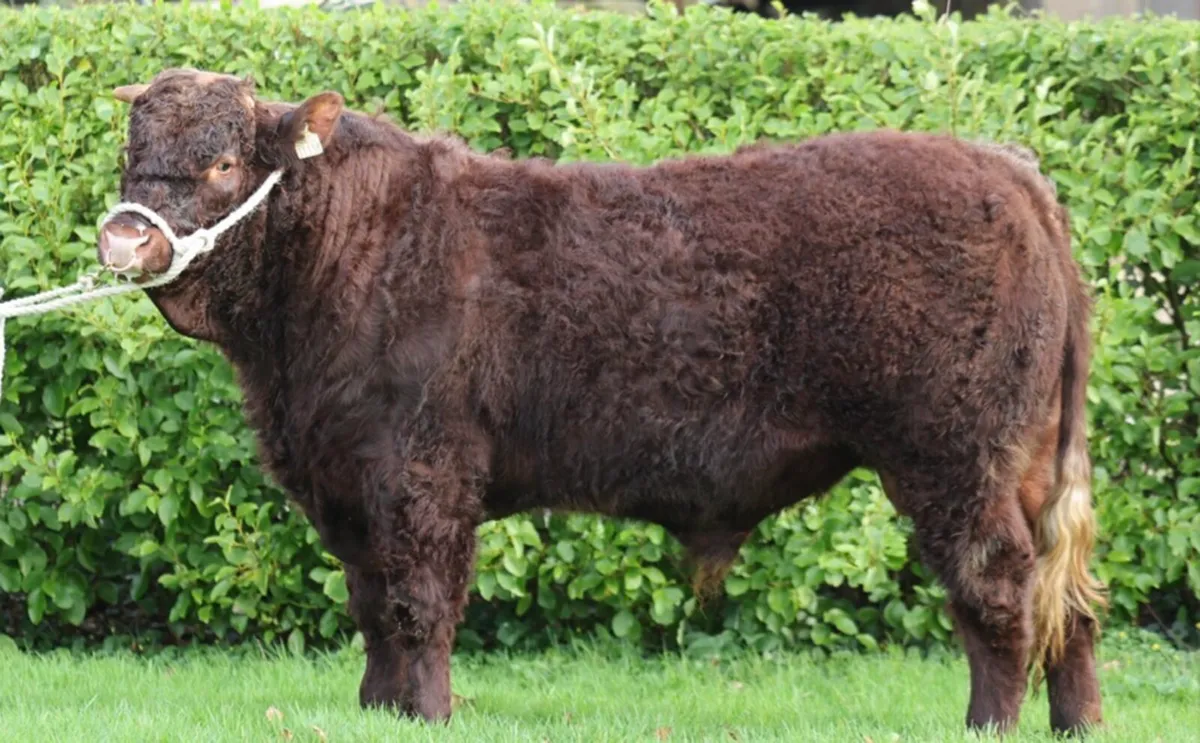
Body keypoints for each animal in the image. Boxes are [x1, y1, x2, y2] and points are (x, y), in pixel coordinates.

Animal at [97, 68, 1105, 735]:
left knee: (998, 585)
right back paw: (1077, 720)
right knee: (1071, 599)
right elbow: (371, 601)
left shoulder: (420, 470)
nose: (122, 239)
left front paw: (425, 713)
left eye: (224, 165)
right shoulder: (344, 477)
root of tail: (1011, 171)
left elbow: (418, 601)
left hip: (954, 457)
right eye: (131, 154)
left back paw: (990, 722)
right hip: (1024, 459)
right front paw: (376, 709)